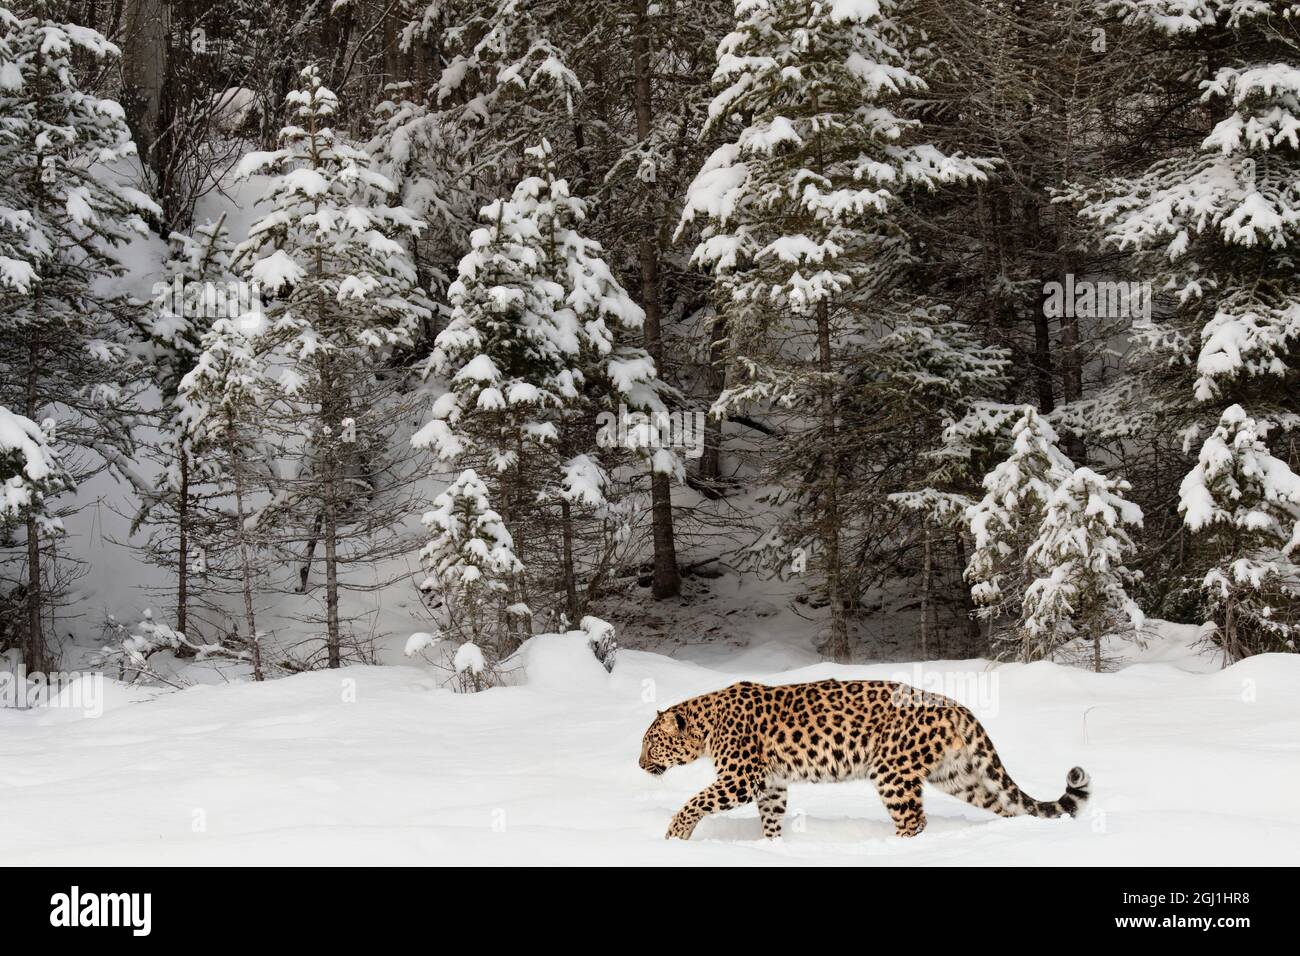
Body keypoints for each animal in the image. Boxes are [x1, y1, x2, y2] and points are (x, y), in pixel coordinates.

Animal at [639, 678, 1089, 840]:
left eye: (651, 744)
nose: (640, 765)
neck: (706, 724)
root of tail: (954, 705)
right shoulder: (771, 783)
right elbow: (771, 818)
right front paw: (772, 847)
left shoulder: (740, 779)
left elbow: (694, 802)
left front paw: (674, 836)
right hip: (958, 776)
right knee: (1009, 804)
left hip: (892, 771)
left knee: (913, 820)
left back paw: (895, 851)